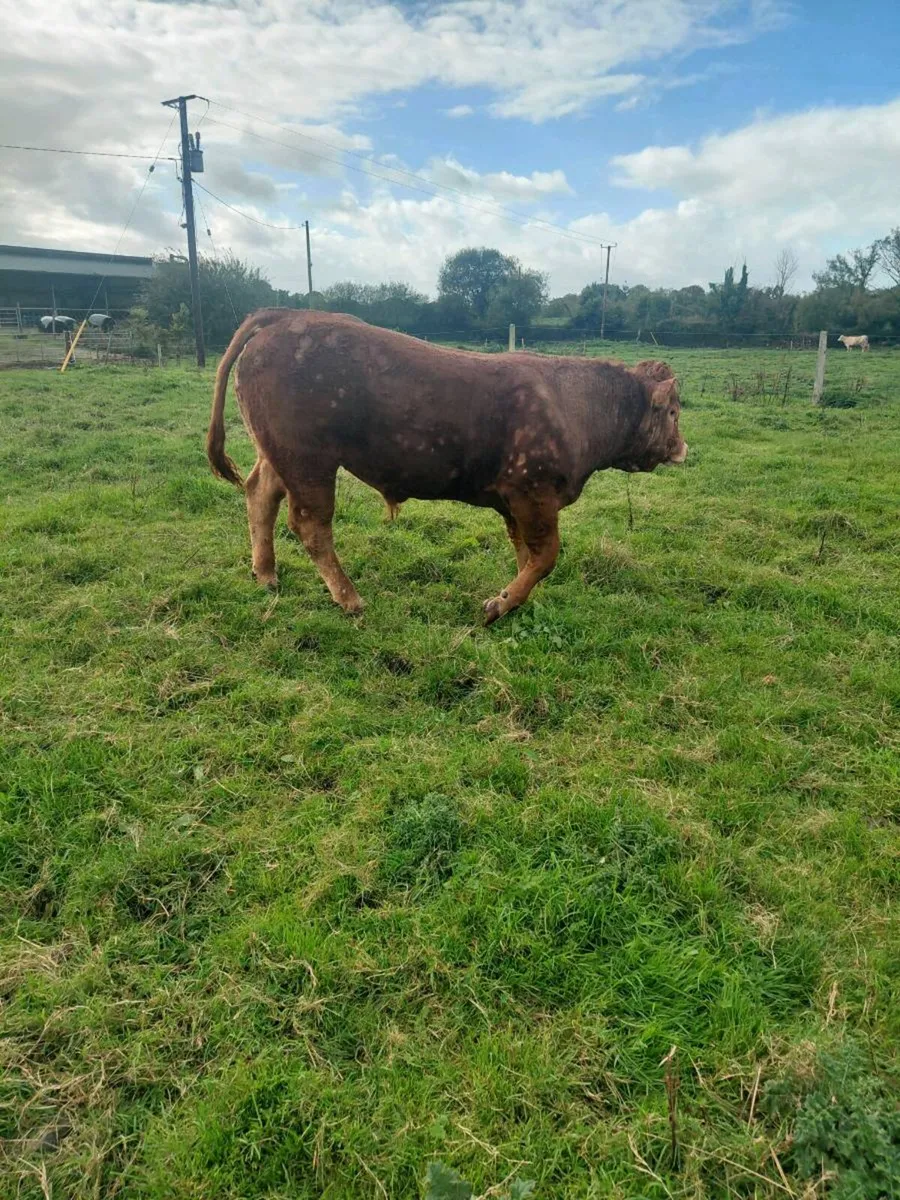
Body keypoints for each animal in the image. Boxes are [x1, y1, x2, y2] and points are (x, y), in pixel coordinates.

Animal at [207, 310, 688, 624]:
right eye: (674, 412)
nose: (683, 448)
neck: (576, 406)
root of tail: (285, 317)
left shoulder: (515, 503)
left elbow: (526, 554)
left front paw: (517, 600)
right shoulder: (532, 493)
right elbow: (546, 555)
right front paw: (499, 605)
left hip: (280, 454)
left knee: (260, 494)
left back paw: (266, 574)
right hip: (309, 460)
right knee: (311, 525)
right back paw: (350, 599)